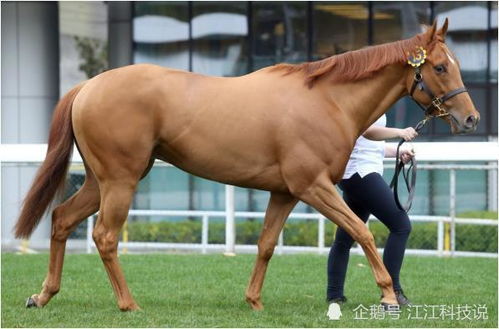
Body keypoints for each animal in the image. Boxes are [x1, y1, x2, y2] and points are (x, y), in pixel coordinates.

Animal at [16, 20, 480, 310]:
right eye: (441, 67)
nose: (471, 119)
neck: (326, 100)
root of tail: (88, 86)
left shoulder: (284, 192)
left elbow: (267, 244)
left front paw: (253, 301)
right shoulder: (314, 187)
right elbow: (362, 231)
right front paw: (387, 296)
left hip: (103, 181)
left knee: (61, 219)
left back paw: (43, 295)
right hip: (121, 181)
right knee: (106, 237)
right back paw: (128, 304)